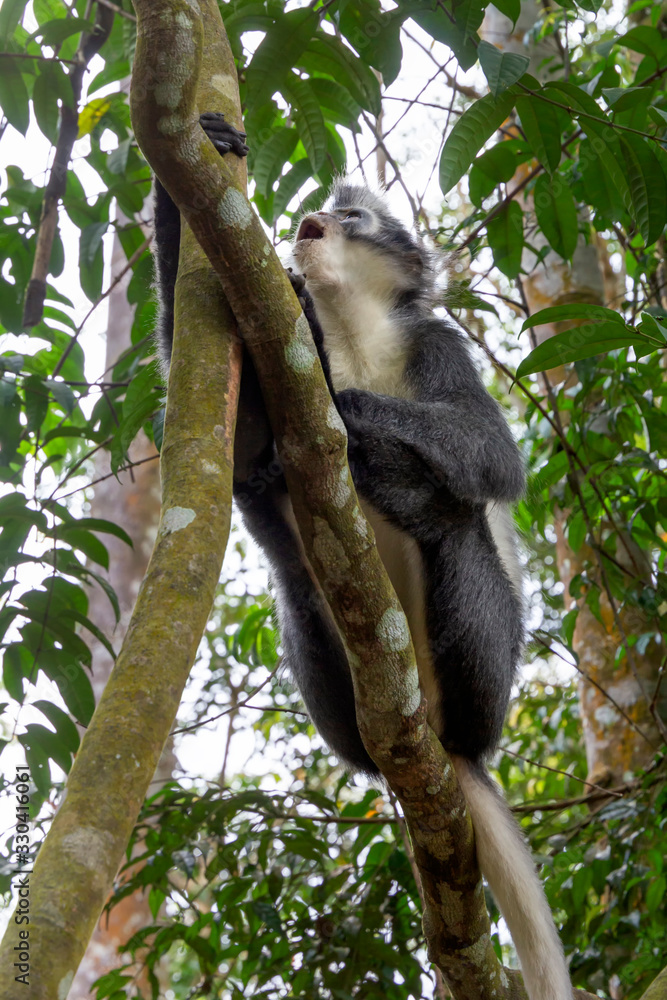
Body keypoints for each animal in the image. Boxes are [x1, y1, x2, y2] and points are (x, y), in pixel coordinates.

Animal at [153, 111, 572, 1000]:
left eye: (354, 217)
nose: (316, 215)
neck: (348, 331)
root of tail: (446, 749)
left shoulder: (434, 343)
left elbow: (492, 459)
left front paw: (354, 417)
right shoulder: (289, 343)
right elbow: (239, 442)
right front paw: (198, 157)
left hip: (480, 670)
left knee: (456, 522)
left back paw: (392, 482)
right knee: (290, 566)